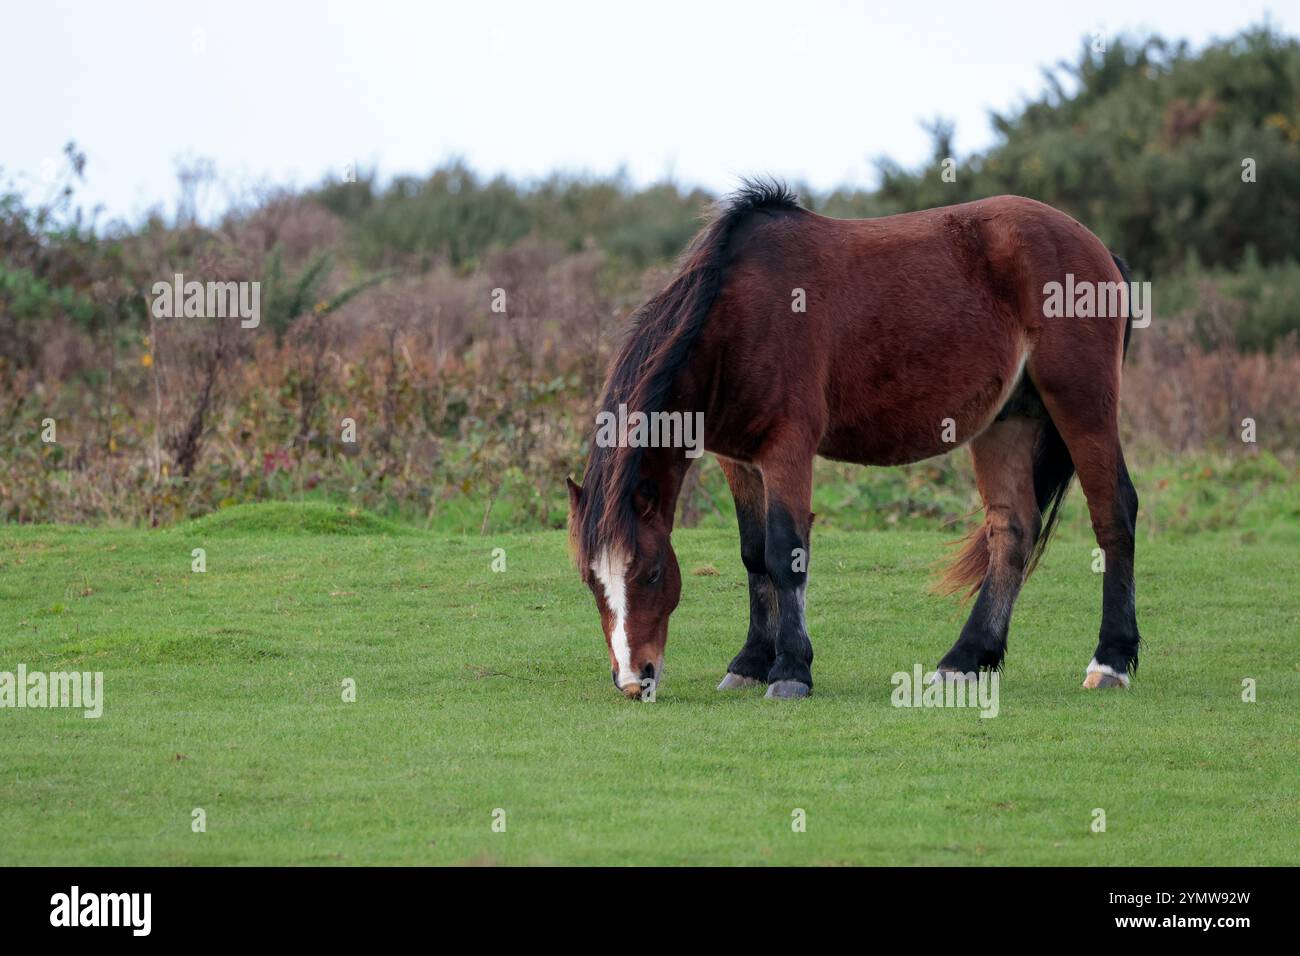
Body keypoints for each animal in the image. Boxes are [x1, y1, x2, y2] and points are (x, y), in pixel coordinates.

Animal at [567, 181, 1140, 700]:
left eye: (652, 572)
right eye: (592, 581)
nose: (633, 680)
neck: (740, 318)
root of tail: (1100, 250)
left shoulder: (788, 450)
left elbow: (784, 551)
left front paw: (791, 670)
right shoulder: (740, 460)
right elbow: (753, 554)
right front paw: (750, 662)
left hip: (1081, 404)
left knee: (1114, 512)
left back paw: (1110, 661)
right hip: (1008, 421)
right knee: (1012, 530)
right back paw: (965, 660)